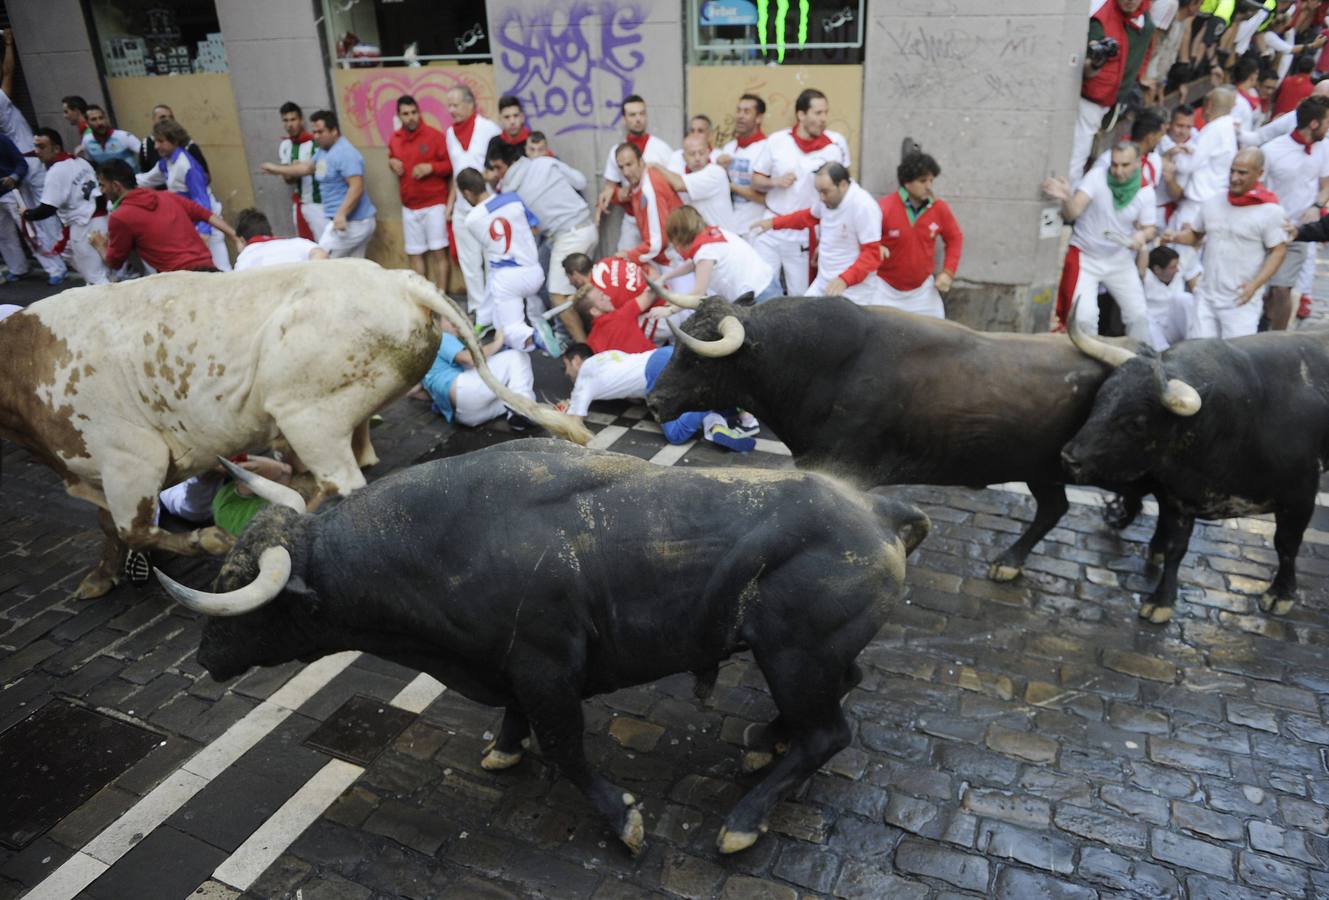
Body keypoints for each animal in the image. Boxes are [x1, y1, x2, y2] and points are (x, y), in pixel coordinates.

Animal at [0, 257, 592, 595]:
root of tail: (397, 281)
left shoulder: (129, 458)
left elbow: (131, 527)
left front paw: (215, 540)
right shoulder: (90, 471)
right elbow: (109, 528)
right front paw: (100, 578)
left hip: (309, 415)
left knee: (341, 484)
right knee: (335, 475)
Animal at [152, 438, 924, 850]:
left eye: (239, 588)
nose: (204, 657)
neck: (442, 540)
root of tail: (873, 508)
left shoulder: (549, 670)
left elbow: (567, 748)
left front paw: (623, 819)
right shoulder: (513, 669)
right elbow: (516, 720)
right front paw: (501, 748)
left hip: (796, 657)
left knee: (828, 733)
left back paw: (744, 817)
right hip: (805, 658)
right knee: (837, 698)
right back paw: (764, 742)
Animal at [643, 291, 1153, 579]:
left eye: (698, 358)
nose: (653, 401)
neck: (819, 365)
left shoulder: (843, 466)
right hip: (1044, 469)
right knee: (1054, 509)